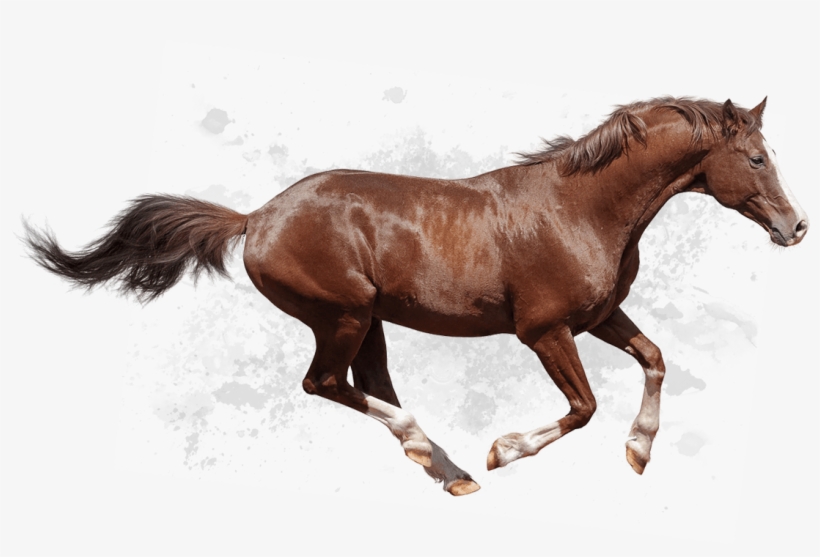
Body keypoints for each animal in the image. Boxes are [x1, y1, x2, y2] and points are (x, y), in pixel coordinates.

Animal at [23, 96, 808, 496]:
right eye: (755, 157)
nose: (796, 226)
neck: (580, 208)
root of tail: (257, 217)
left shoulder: (598, 317)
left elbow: (654, 358)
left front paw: (639, 452)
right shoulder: (545, 330)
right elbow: (583, 406)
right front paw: (503, 451)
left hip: (368, 321)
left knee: (365, 382)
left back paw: (447, 470)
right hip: (342, 315)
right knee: (326, 384)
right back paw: (441, 454)